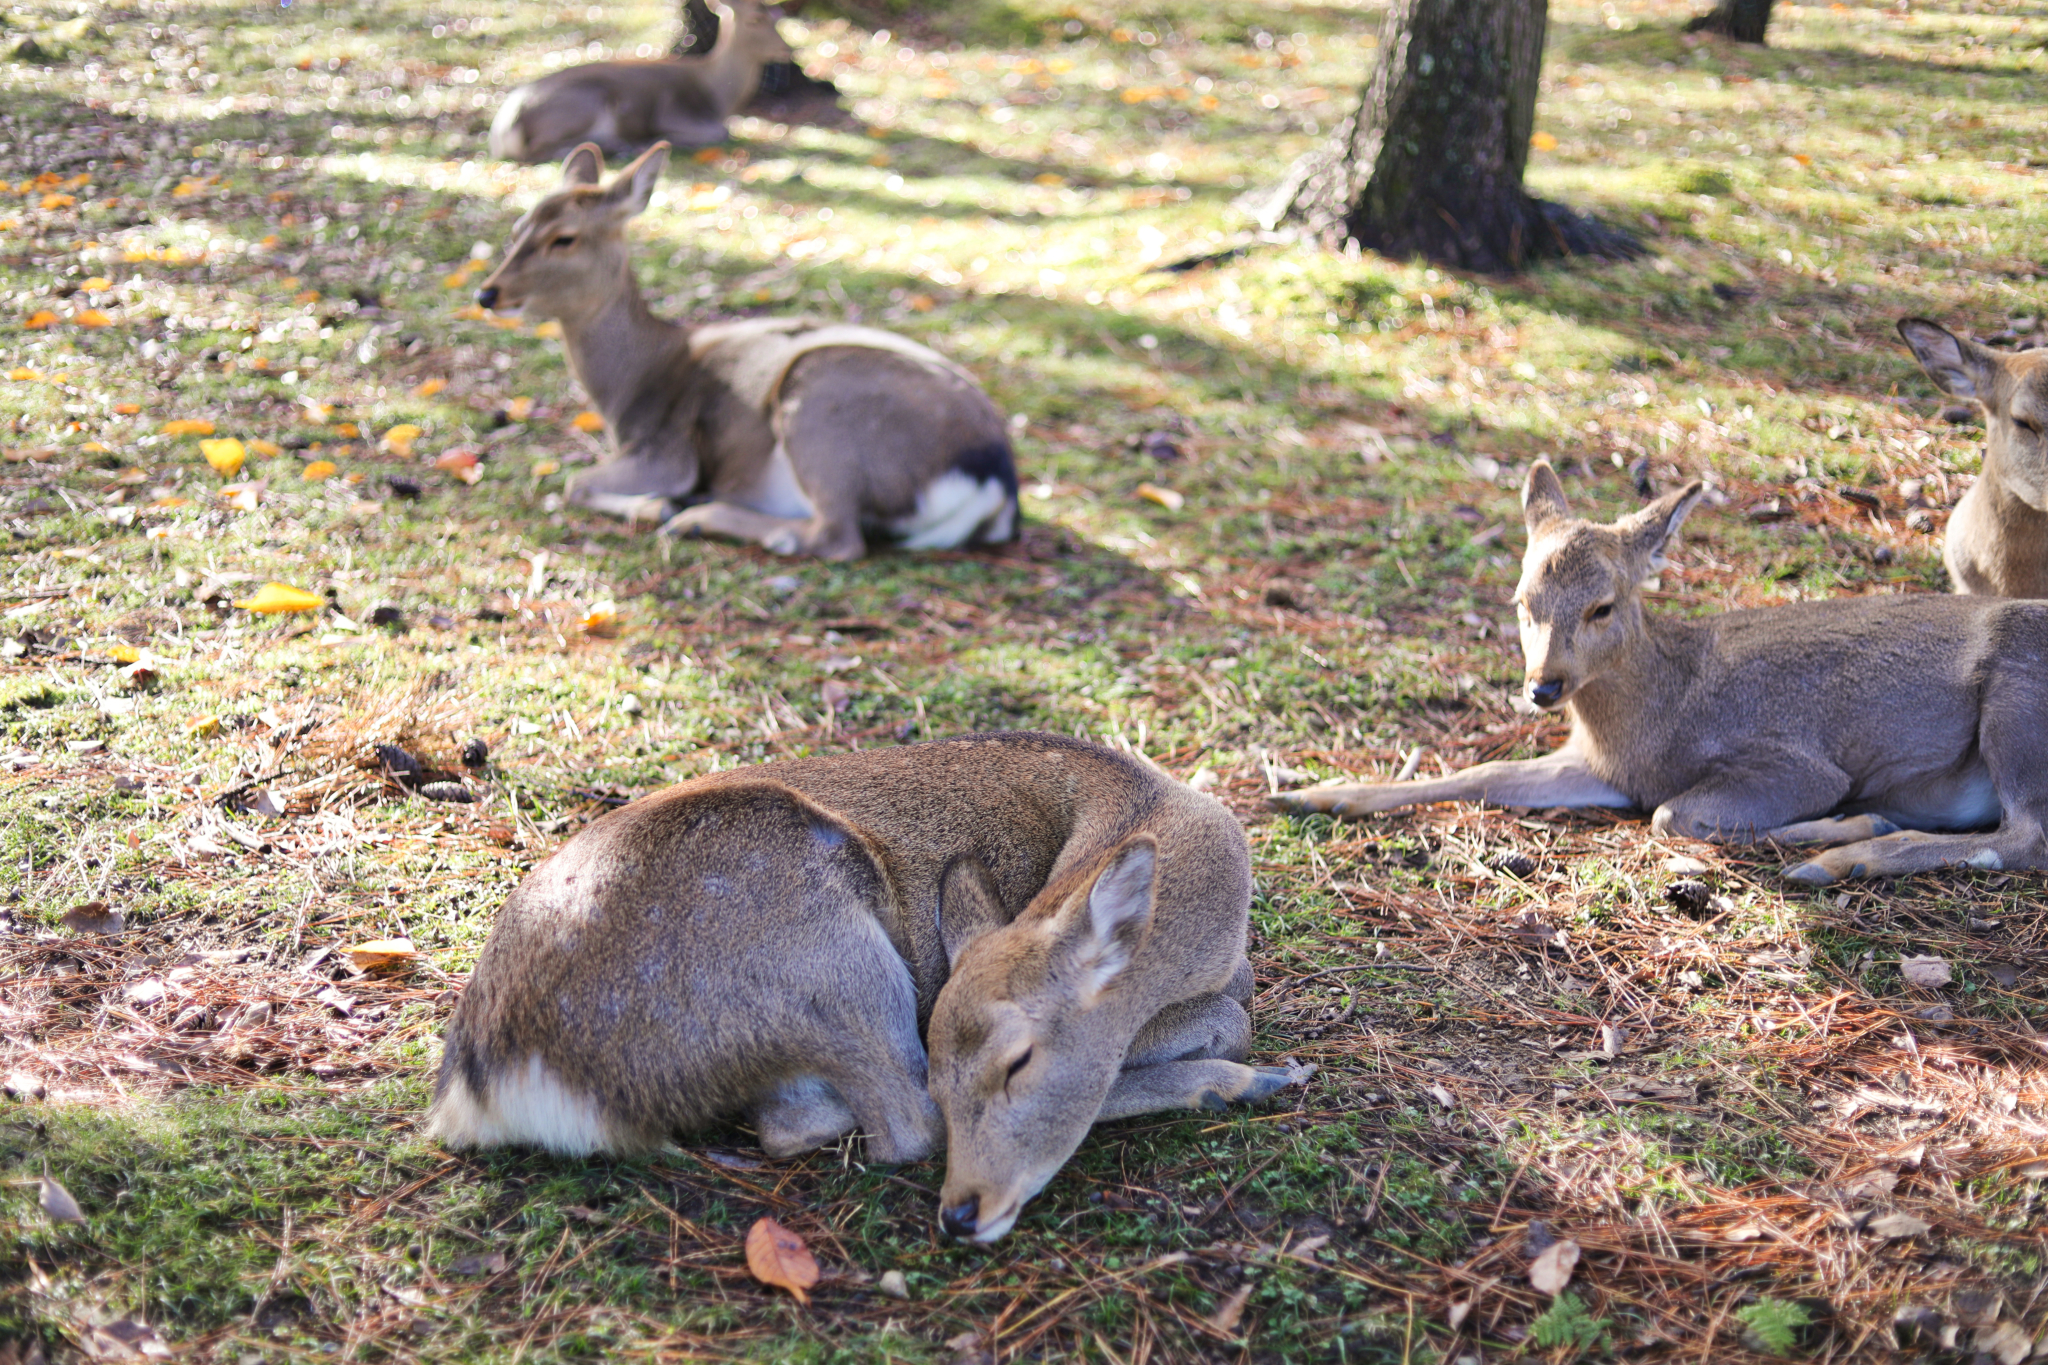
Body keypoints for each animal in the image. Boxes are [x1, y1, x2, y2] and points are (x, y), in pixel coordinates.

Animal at [428, 736, 1294, 1252]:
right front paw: (1247, 1070)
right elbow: (1227, 1018)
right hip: (835, 957)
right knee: (902, 1125)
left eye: (1019, 1062)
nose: (962, 1214)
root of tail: (490, 1084)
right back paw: (1249, 1081)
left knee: (795, 1121)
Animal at [477, 144, 1024, 560]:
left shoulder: (667, 451)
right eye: (518, 229)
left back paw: (700, 517)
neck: (632, 388)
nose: (487, 293)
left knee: (838, 537)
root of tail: (995, 480)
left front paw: (658, 505)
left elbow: (575, 483)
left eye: (564, 238)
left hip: (821, 407)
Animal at [487, 0, 790, 163]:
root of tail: (502, 130)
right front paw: (655, 140)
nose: (787, 48)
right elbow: (721, 132)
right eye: (755, 19)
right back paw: (618, 146)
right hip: (583, 102)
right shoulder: (673, 110)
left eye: (777, 17)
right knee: (534, 151)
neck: (719, 96)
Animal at [1269, 458, 2048, 888]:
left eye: (1602, 606)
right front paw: (1312, 793)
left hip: (2018, 706)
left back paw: (1837, 855)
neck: (1657, 717)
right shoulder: (1603, 767)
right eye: (1521, 602)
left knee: (2025, 836)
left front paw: (1846, 818)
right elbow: (1482, 773)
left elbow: (1671, 814)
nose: (1543, 686)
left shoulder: (1794, 761)